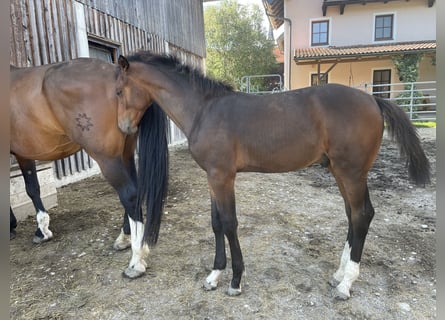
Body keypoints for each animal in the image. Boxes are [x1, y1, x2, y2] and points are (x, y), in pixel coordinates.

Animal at [10, 59, 170, 278]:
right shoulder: (24, 153)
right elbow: (33, 188)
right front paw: (40, 230)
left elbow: (28, 191)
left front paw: (37, 229)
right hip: (125, 153)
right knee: (135, 191)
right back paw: (124, 239)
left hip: (107, 159)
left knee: (129, 194)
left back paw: (137, 260)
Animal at [115, 51, 430, 302]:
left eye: (118, 91)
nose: (124, 128)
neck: (204, 110)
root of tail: (374, 100)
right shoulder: (212, 178)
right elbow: (216, 224)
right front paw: (214, 275)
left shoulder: (223, 177)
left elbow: (229, 223)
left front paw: (235, 280)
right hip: (340, 171)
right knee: (353, 215)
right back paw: (339, 275)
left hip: (351, 172)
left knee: (362, 214)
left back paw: (346, 284)